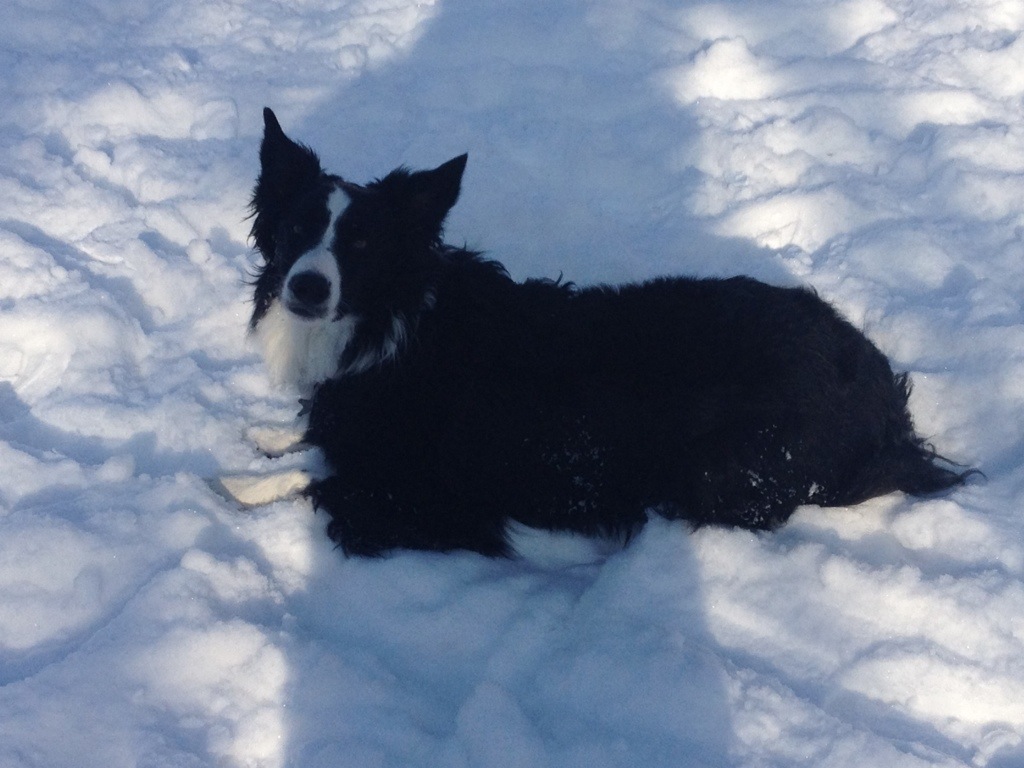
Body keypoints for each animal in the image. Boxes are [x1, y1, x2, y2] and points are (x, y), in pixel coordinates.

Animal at [216, 107, 975, 557]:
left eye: (363, 247)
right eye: (296, 230)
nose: (306, 287)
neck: (390, 327)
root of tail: (879, 390)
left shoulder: (431, 496)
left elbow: (317, 484)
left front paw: (236, 490)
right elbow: (313, 441)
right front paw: (272, 436)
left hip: (720, 468)